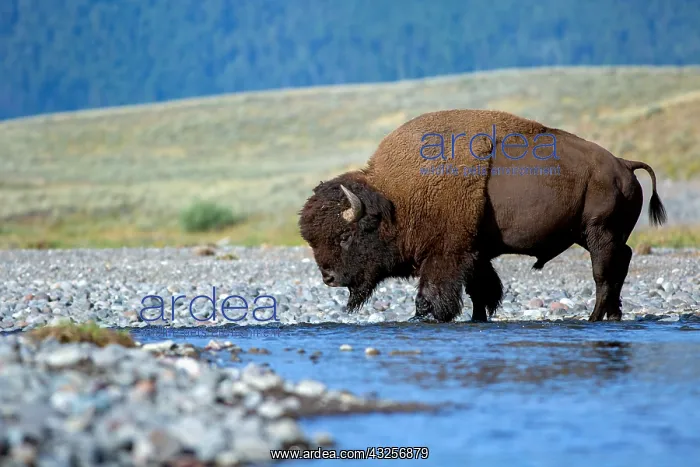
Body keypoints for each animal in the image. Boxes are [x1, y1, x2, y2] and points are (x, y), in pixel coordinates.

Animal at [298, 109, 667, 323]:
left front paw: (425, 318)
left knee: (603, 274)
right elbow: (483, 289)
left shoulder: (446, 254)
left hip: (598, 233)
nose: (328, 277)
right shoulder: (474, 253)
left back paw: (594, 317)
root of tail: (623, 165)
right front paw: (478, 318)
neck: (396, 200)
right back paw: (613, 316)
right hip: (597, 235)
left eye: (345, 236)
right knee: (621, 263)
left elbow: (434, 293)